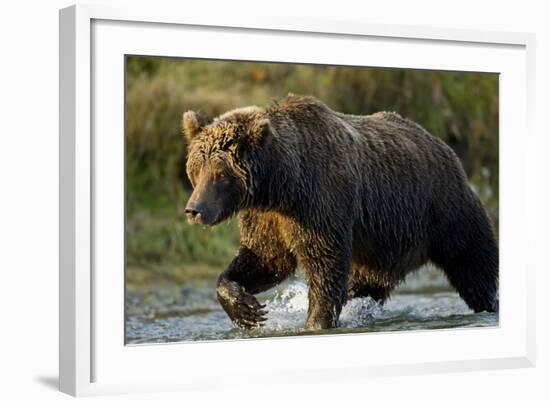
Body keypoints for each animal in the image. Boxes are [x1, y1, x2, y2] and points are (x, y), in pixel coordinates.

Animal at [182, 95, 500, 330]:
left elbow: (324, 265)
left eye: (221, 173)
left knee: (474, 267)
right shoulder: (267, 218)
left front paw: (315, 322)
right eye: (196, 169)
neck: (282, 186)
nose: (194, 210)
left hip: (445, 211)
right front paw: (246, 308)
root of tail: (444, 147)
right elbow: (265, 259)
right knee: (366, 283)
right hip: (381, 248)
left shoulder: (321, 204)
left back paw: (490, 305)